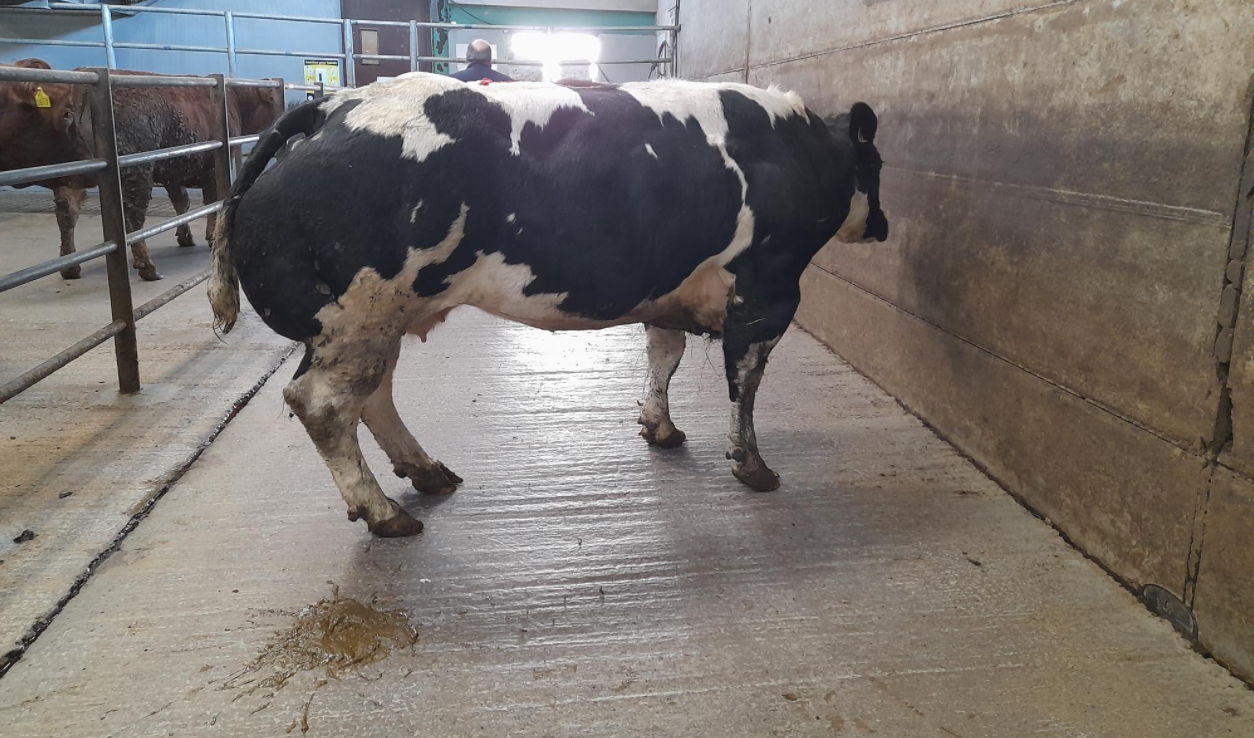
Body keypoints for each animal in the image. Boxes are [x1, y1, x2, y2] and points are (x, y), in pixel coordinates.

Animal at [0, 59, 279, 280]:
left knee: (66, 214)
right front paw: (211, 236)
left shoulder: (172, 169)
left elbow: (182, 202)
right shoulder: (214, 162)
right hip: (136, 171)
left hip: (72, 174)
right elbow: (212, 199)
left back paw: (70, 267)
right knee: (132, 218)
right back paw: (146, 266)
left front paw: (185, 236)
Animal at [208, 74, 887, 537]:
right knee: (321, 404)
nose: (882, 225)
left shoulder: (666, 289)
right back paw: (384, 512)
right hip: (359, 317)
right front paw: (753, 467)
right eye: (877, 164)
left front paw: (660, 428)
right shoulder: (769, 290)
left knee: (370, 395)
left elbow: (662, 356)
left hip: (373, 320)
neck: (797, 152)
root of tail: (334, 106)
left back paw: (428, 473)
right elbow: (743, 382)